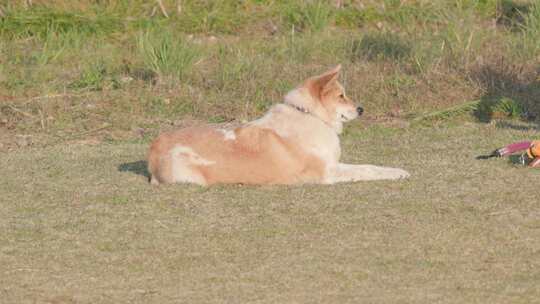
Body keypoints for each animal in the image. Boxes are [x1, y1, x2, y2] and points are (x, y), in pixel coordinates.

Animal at [147, 65, 410, 185]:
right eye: (341, 96)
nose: (361, 109)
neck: (309, 115)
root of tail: (154, 148)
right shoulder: (328, 173)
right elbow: (367, 171)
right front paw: (397, 173)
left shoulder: (333, 164)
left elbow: (369, 165)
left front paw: (397, 169)